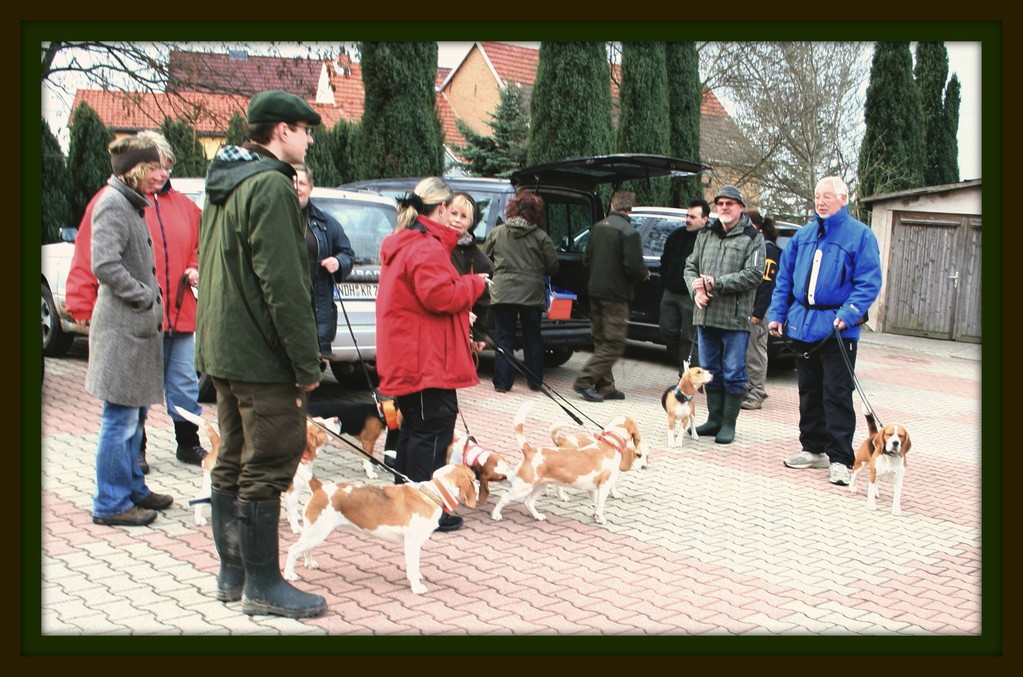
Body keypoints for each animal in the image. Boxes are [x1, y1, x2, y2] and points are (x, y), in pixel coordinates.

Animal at [284, 464, 478, 597]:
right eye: (473, 477)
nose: (478, 482)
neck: (432, 493)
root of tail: (321, 487)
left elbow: (413, 566)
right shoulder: (412, 543)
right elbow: (413, 566)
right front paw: (416, 587)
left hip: (315, 532)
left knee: (305, 549)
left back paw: (309, 563)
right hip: (316, 533)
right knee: (293, 550)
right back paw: (290, 575)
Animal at [491, 400, 650, 527]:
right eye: (639, 455)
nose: (644, 467)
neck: (609, 444)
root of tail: (530, 450)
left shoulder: (592, 489)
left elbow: (595, 504)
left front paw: (596, 517)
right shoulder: (604, 487)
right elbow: (600, 505)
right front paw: (601, 519)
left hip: (539, 486)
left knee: (528, 502)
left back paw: (537, 516)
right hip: (522, 487)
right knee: (504, 498)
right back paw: (495, 515)